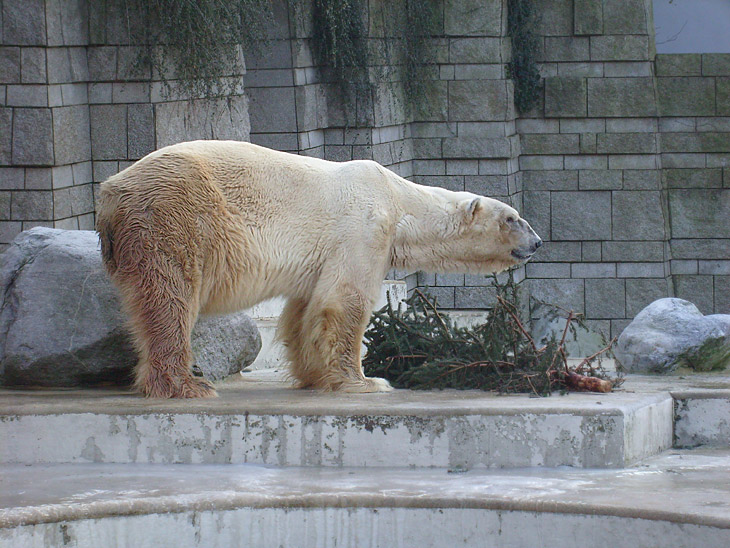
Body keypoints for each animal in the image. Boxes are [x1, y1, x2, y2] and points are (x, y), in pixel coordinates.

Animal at [95, 141, 540, 398]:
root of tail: (110, 195)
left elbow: (305, 310)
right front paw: (365, 381)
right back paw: (186, 384)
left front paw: (313, 376)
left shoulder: (322, 256)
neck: (399, 200)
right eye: (512, 218)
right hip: (175, 215)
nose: (537, 242)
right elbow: (344, 302)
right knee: (170, 295)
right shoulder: (363, 228)